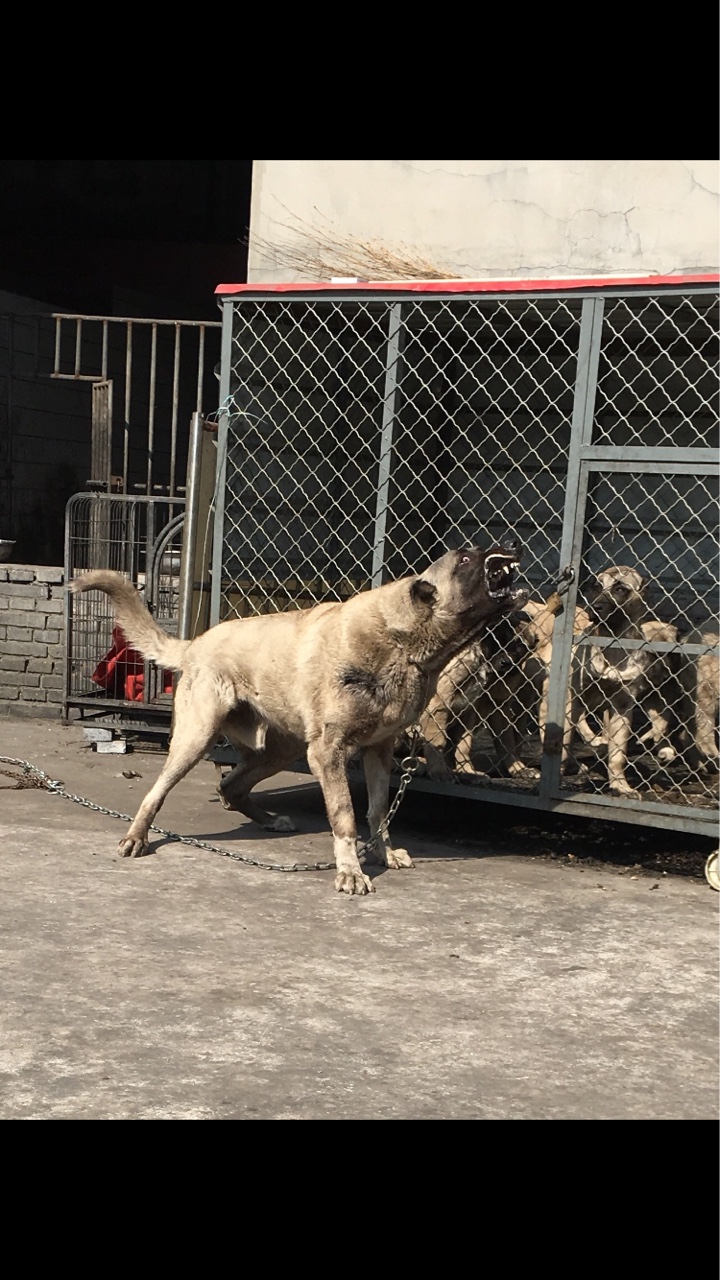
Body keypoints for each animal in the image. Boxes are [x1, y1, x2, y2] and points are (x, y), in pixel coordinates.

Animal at [71, 545, 520, 896]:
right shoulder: (328, 753)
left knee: (230, 785)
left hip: (280, 751)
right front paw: (350, 872)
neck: (403, 641)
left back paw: (270, 820)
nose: (510, 544)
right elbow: (345, 815)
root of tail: (195, 643)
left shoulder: (379, 751)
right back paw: (136, 836)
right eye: (465, 557)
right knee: (158, 791)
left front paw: (382, 853)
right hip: (197, 738)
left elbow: (377, 811)